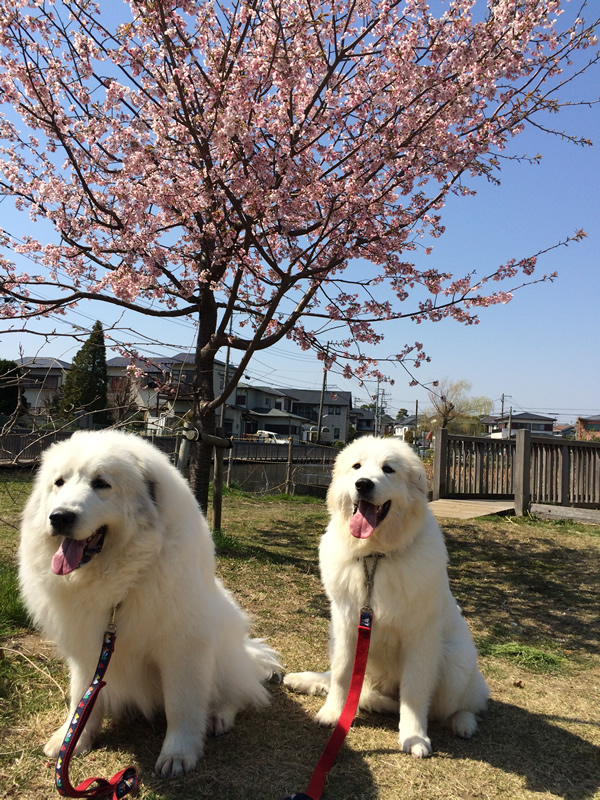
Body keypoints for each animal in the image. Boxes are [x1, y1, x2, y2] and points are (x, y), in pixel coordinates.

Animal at [19, 432, 280, 776]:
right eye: (59, 483)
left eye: (102, 483)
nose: (60, 517)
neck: (122, 583)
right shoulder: (88, 652)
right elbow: (81, 698)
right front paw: (71, 738)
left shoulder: (183, 650)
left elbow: (181, 705)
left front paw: (178, 753)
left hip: (223, 658)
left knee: (238, 691)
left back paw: (218, 716)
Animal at [284, 438, 488, 756]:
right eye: (356, 466)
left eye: (388, 469)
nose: (363, 484)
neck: (375, 556)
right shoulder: (346, 623)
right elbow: (341, 674)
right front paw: (333, 713)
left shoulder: (420, 638)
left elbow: (414, 693)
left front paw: (414, 737)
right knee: (347, 684)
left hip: (456, 665)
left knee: (464, 705)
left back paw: (463, 723)